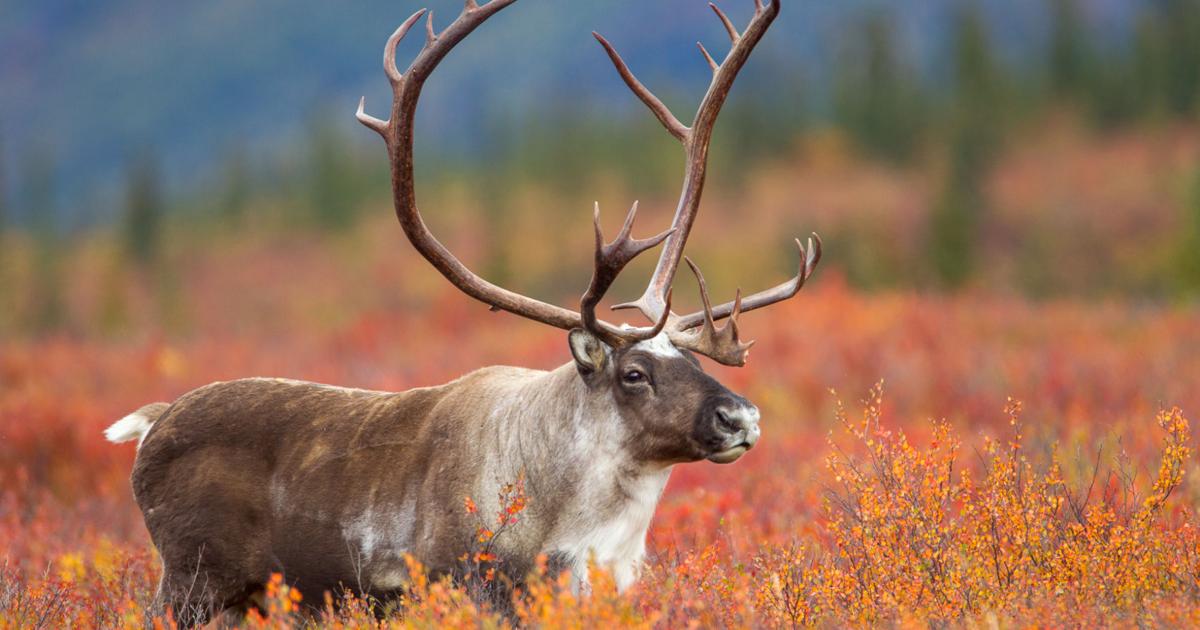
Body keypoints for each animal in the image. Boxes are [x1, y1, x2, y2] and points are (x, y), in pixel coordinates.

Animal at [105, 0, 818, 625]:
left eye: (692, 358)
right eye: (634, 373)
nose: (740, 416)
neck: (579, 530)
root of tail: (156, 420)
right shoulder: (474, 589)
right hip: (191, 583)